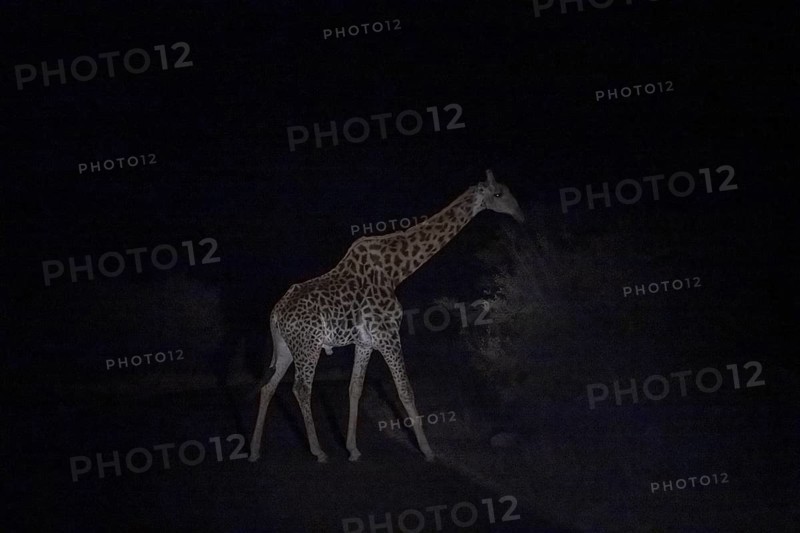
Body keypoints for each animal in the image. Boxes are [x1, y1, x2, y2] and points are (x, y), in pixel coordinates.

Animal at [249, 169, 524, 463]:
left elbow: (355, 388)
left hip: (287, 347)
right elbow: (405, 390)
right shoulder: (388, 333)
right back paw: (318, 452)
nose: (520, 215)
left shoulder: (365, 342)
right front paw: (428, 451)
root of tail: (275, 314)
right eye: (499, 194)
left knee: (268, 386)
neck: (396, 270)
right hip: (307, 347)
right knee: (300, 388)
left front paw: (353, 449)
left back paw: (254, 450)